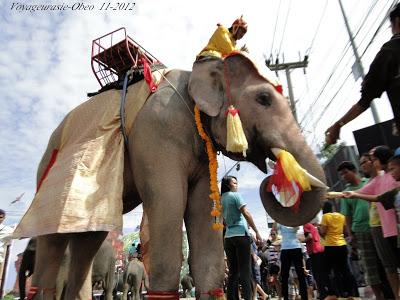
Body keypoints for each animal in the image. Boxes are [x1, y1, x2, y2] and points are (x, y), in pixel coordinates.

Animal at [18, 52, 324, 298]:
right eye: (264, 99)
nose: (272, 176)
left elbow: (204, 219)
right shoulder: (157, 134)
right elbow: (169, 204)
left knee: (89, 240)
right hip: (52, 171)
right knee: (52, 239)